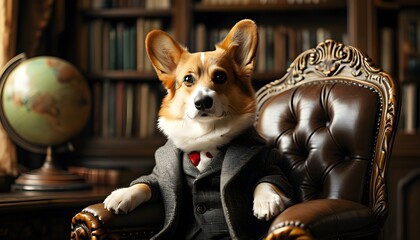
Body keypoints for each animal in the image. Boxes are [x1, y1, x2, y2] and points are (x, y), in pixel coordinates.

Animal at [104, 19, 292, 238]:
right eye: (188, 79)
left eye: (220, 77)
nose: (202, 102)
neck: (205, 136)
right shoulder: (159, 177)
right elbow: (146, 183)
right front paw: (122, 194)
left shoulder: (269, 163)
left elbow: (268, 178)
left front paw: (266, 201)